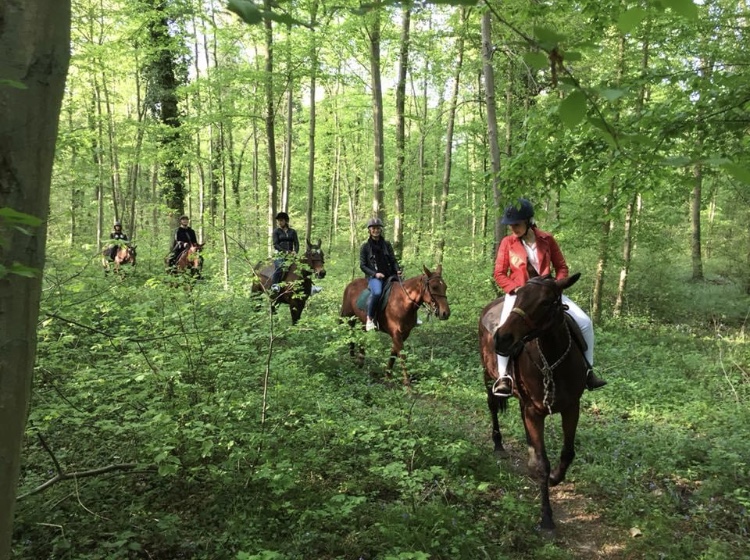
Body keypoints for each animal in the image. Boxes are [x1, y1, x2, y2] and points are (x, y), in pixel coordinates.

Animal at [478, 274, 592, 532]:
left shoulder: (572, 407)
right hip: (488, 376)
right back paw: (498, 444)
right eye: (519, 295)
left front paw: (555, 478)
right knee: (492, 406)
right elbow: (542, 463)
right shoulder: (535, 411)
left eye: (546, 302)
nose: (503, 338)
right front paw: (546, 517)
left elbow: (568, 452)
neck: (552, 361)